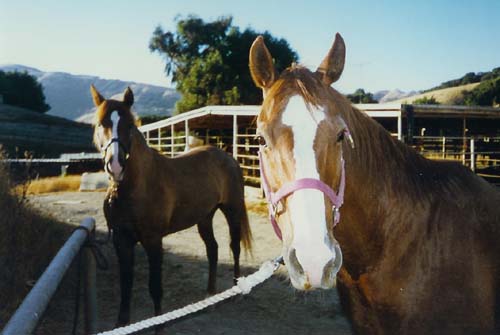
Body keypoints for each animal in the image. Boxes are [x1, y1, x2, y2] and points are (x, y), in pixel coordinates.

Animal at [90, 85, 252, 326]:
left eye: (129, 125)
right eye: (101, 124)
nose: (116, 165)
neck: (137, 186)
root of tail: (228, 157)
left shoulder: (153, 241)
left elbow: (155, 289)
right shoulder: (122, 241)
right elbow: (125, 288)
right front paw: (121, 325)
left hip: (231, 211)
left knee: (235, 247)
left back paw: (235, 290)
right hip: (205, 217)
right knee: (213, 249)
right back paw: (210, 294)